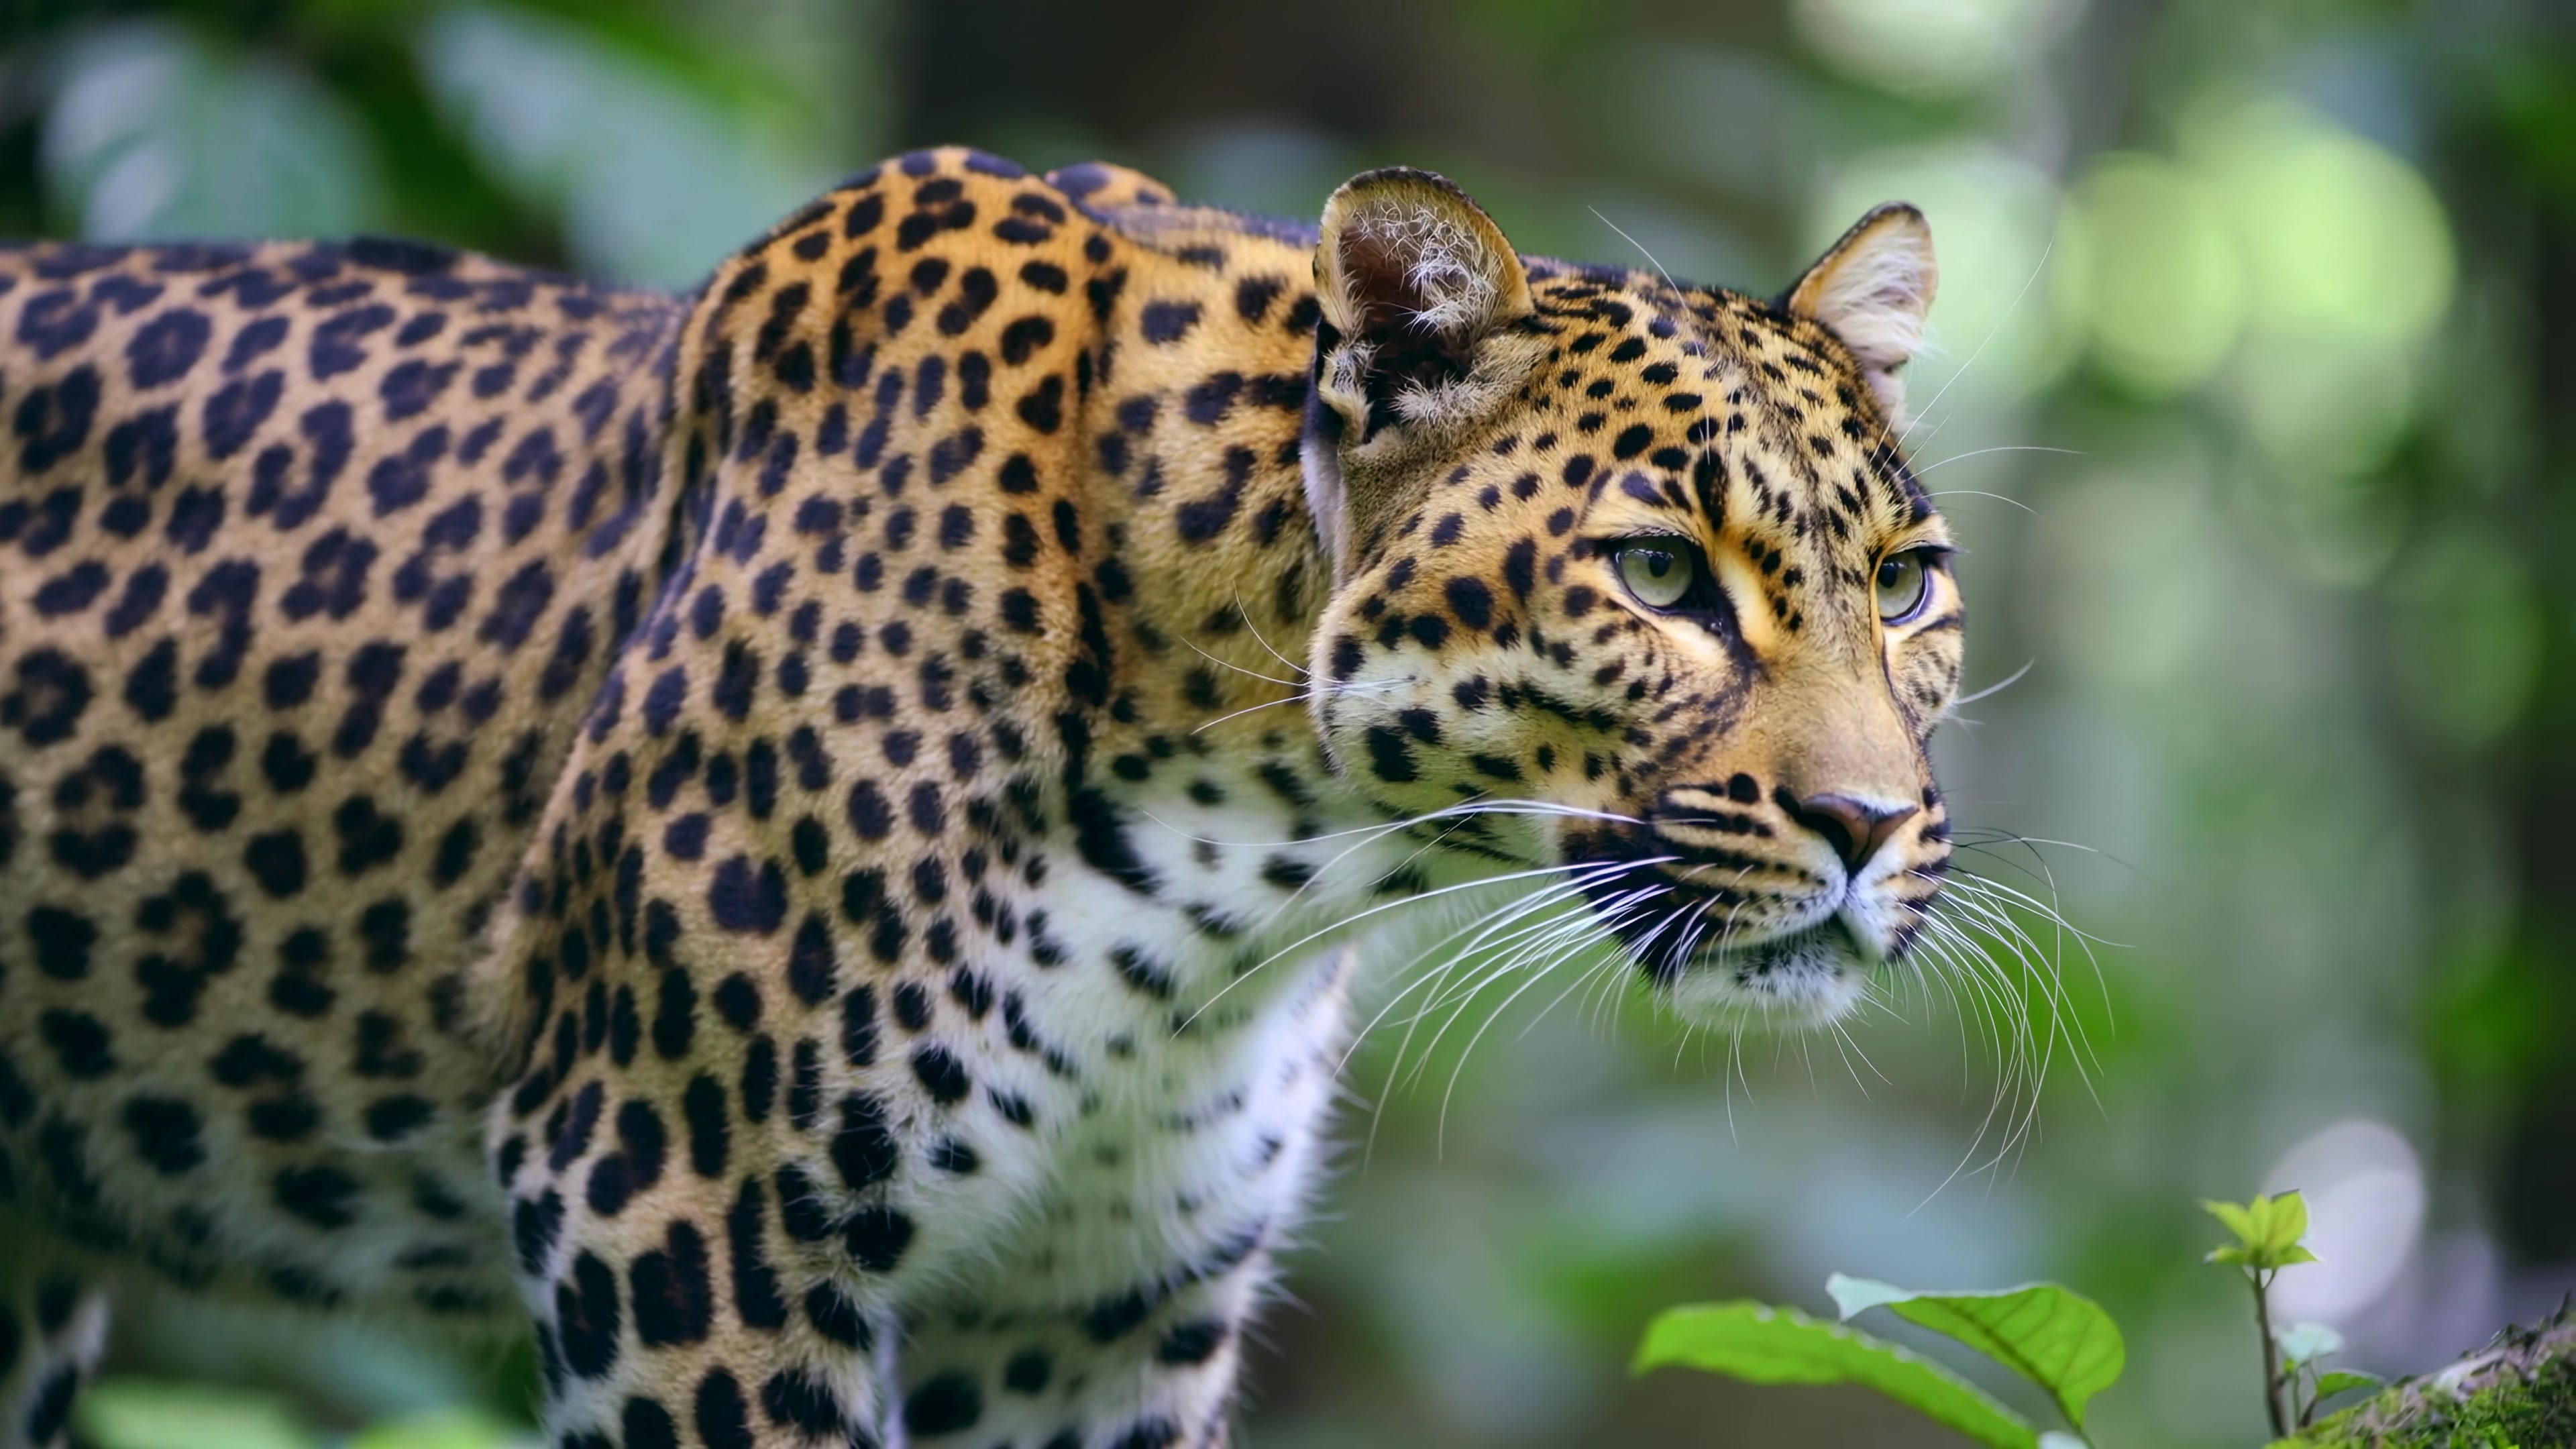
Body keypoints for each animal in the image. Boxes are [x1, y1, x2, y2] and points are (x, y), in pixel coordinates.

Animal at [0, 146, 1963, 1449]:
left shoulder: (1095, 1304)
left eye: (1907, 586)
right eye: (1658, 573)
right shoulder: (673, 1203)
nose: (1868, 827)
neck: (1247, 874)